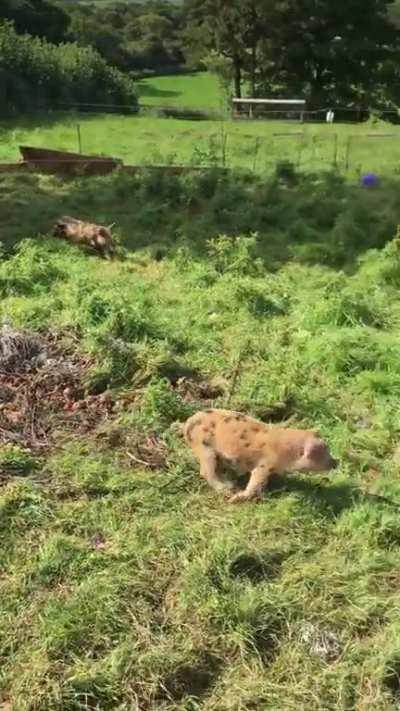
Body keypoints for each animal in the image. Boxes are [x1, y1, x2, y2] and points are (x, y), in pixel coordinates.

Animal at [184, 408, 338, 503]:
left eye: (328, 448)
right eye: (322, 454)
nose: (336, 462)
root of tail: (187, 423)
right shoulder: (264, 465)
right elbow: (255, 481)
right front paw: (236, 499)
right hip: (204, 449)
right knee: (205, 471)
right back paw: (228, 489)